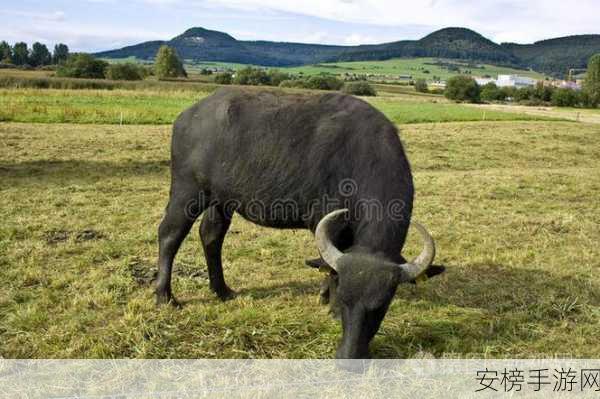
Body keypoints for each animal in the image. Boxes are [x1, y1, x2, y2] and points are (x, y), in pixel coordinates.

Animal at [155, 86, 438, 360]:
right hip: (188, 191)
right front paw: (328, 301)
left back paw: (222, 290)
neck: (363, 159)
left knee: (211, 236)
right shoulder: (329, 224)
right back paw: (165, 296)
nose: (351, 355)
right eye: (345, 299)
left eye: (381, 306)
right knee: (169, 234)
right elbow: (327, 265)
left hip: (221, 200)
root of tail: (187, 116)